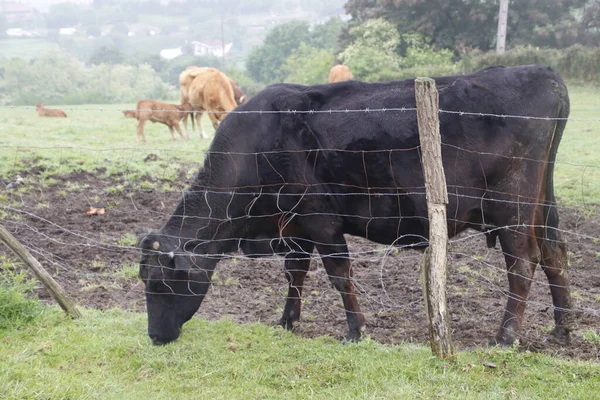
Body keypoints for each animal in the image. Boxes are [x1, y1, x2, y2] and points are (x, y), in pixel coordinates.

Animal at [139, 65, 572, 346]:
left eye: (161, 282)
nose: (155, 336)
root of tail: (540, 71)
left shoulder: (320, 220)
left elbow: (339, 276)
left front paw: (355, 330)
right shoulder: (294, 227)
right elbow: (294, 274)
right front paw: (286, 322)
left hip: (510, 208)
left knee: (523, 265)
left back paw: (506, 336)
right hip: (541, 203)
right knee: (554, 255)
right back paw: (563, 329)